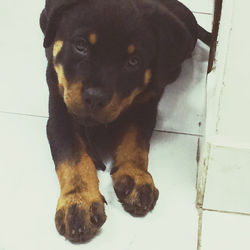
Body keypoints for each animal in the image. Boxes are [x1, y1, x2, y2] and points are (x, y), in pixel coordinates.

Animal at [39, 0, 211, 243]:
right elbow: (72, 158)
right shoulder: (60, 114)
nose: (95, 97)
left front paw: (136, 177)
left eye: (133, 61)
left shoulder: (144, 105)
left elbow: (134, 141)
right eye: (80, 45)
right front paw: (79, 203)